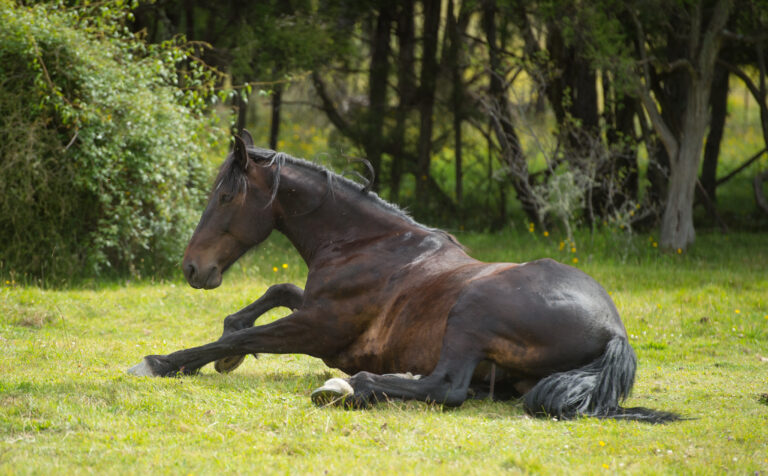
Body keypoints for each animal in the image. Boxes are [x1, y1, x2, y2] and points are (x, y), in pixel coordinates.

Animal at [127, 131, 680, 423]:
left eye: (224, 197)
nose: (192, 267)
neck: (368, 242)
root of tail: (614, 331)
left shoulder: (320, 328)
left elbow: (232, 338)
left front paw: (160, 362)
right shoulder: (314, 307)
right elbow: (275, 293)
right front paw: (230, 342)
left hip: (471, 311)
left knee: (447, 387)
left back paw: (349, 388)